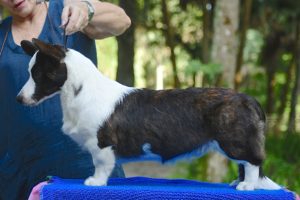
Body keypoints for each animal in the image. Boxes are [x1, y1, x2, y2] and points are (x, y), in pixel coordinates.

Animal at [17, 39, 282, 191]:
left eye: (37, 74)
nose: (19, 99)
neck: (80, 90)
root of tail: (250, 99)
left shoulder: (101, 144)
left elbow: (100, 165)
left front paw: (95, 183)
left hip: (234, 140)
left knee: (252, 162)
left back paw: (247, 186)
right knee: (245, 163)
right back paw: (239, 182)